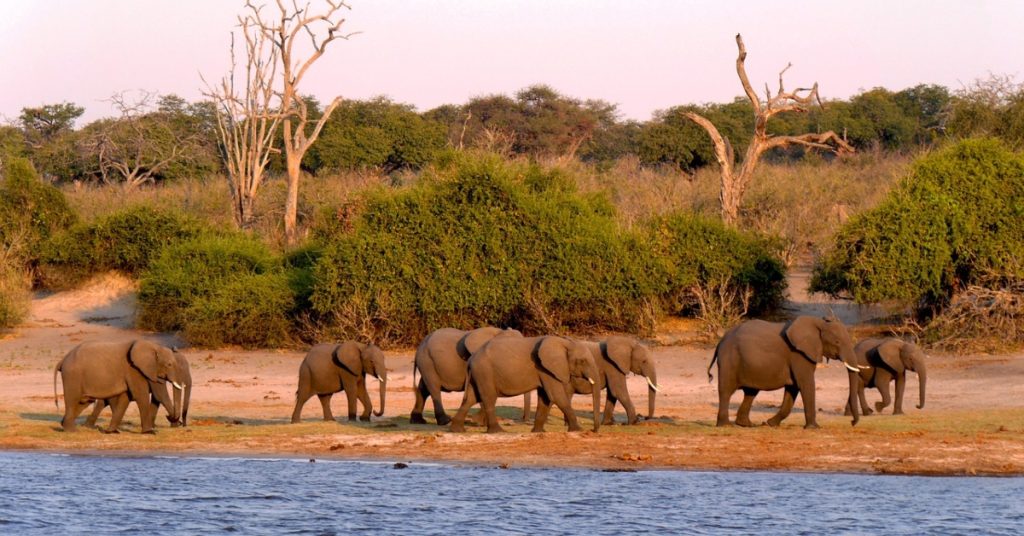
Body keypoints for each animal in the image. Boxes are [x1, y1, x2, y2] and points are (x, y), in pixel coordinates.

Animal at [53, 342, 188, 434]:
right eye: (169, 364)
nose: (177, 421)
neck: (153, 346)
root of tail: (62, 360)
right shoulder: (134, 369)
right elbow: (142, 395)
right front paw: (150, 432)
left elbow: (126, 398)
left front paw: (112, 432)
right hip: (72, 376)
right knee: (73, 399)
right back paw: (72, 430)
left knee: (84, 401)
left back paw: (66, 426)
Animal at [452, 338, 602, 434]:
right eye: (582, 361)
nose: (593, 430)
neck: (564, 342)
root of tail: (471, 359)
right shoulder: (545, 368)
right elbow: (557, 396)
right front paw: (578, 430)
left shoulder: (545, 370)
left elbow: (545, 398)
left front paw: (538, 432)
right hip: (484, 372)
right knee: (488, 398)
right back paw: (498, 432)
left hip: (478, 374)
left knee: (470, 399)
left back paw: (458, 430)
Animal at [712, 317, 864, 430]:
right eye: (837, 342)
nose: (852, 422)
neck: (818, 323)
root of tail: (721, 341)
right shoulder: (798, 354)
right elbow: (806, 384)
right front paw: (814, 428)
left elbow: (793, 388)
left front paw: (770, 424)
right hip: (729, 360)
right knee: (726, 391)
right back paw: (725, 425)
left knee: (751, 392)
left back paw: (747, 424)